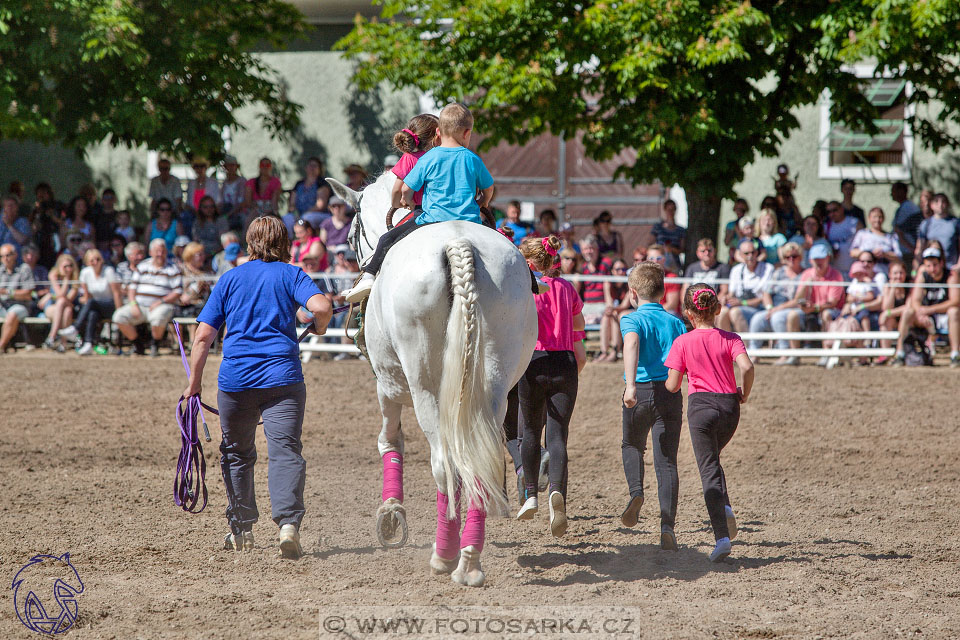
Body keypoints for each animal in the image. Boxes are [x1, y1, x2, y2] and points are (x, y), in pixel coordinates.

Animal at [328, 174, 540, 584]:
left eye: (350, 234)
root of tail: (458, 245)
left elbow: (390, 441)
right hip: (493, 384)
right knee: (479, 461)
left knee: (443, 463)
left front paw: (391, 514)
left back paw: (445, 555)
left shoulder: (388, 384)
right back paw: (470, 558)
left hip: (424, 387)